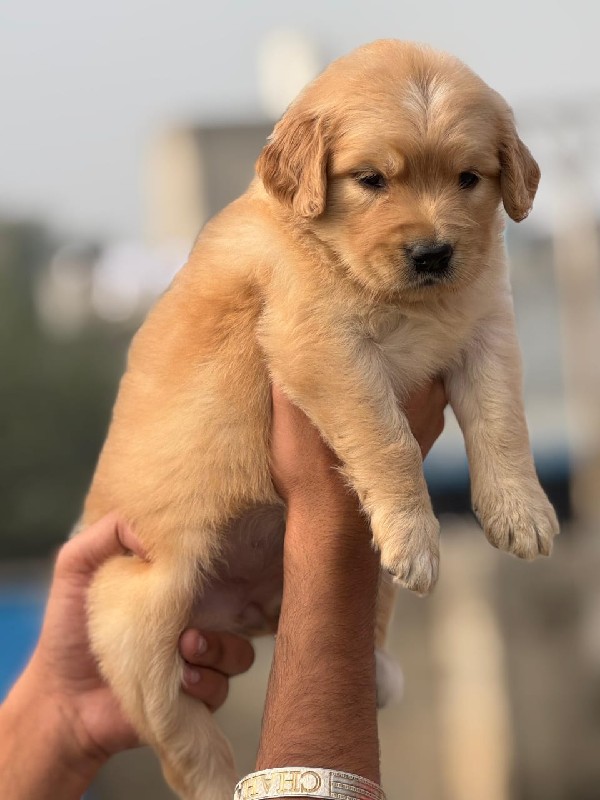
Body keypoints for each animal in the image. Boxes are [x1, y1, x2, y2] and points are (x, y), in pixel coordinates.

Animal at [82, 42, 560, 800]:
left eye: (469, 178)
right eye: (371, 180)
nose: (435, 254)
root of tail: (248, 607)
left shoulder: (487, 326)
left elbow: (503, 418)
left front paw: (521, 510)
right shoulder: (322, 346)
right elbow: (389, 439)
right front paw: (418, 534)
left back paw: (380, 665)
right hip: (135, 613)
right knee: (176, 737)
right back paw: (218, 773)